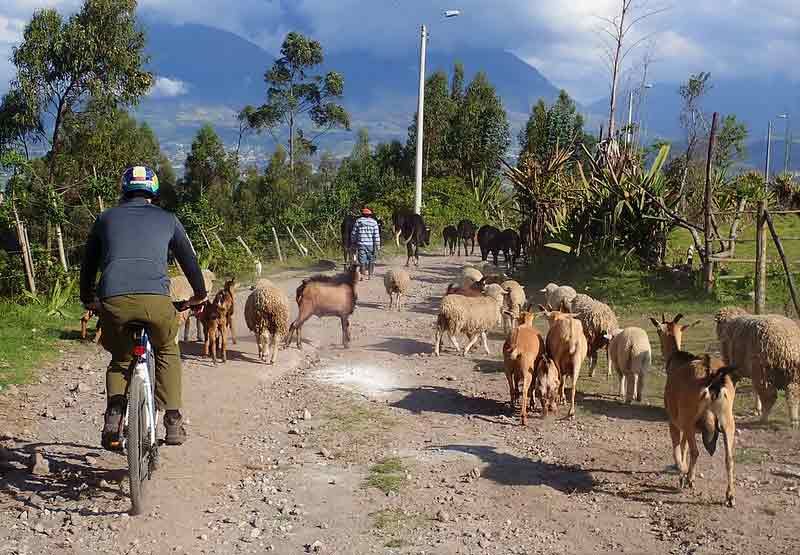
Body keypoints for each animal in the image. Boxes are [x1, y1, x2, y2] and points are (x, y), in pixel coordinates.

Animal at [648, 312, 736, 508]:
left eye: (658, 331)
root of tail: (712, 376)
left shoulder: (674, 420)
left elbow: (678, 446)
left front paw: (681, 472)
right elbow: (684, 445)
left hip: (689, 419)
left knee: (696, 451)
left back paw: (688, 479)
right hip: (727, 420)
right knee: (729, 457)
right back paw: (730, 496)